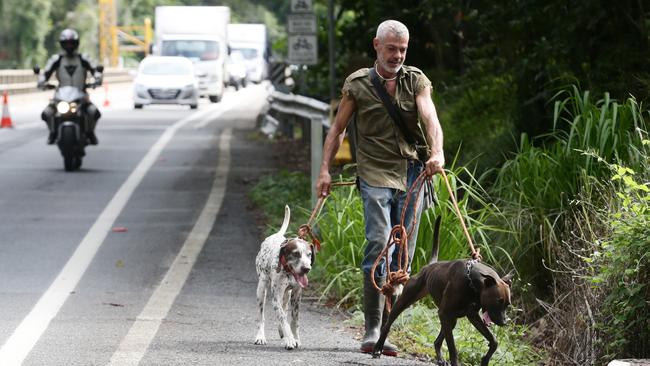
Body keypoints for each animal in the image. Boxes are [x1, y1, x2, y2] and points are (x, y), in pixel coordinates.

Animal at [253, 204, 314, 350]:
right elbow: (282, 318)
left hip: (287, 294)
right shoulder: (276, 298)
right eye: (296, 254)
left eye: (309, 254)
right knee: (261, 317)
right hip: (261, 290)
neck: (288, 272)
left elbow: (293, 320)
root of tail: (277, 235)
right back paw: (260, 336)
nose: (306, 269)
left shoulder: (297, 295)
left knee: (284, 309)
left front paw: (295, 338)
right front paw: (289, 340)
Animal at [372, 219, 508, 364]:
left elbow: (494, 341)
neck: (471, 280)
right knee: (387, 325)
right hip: (405, 302)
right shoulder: (445, 313)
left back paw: (441, 359)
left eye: (507, 304)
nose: (505, 322)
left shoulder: (472, 316)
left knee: (437, 341)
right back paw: (378, 349)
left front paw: (485, 360)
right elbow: (453, 349)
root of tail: (429, 266)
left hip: (451, 319)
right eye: (498, 301)